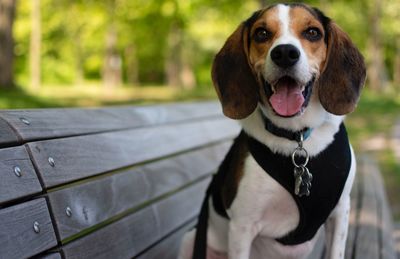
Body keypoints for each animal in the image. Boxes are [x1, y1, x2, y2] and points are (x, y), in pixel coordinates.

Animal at [180, 3, 364, 259]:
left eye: (312, 32)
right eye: (261, 33)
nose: (285, 53)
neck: (297, 138)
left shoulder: (340, 212)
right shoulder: (242, 226)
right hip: (190, 240)